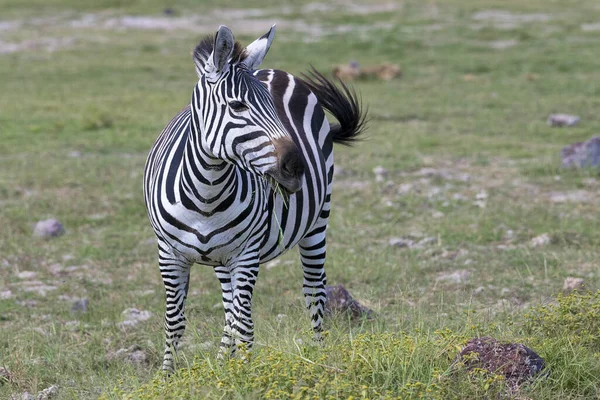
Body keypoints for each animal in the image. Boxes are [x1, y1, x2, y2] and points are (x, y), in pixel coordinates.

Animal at [143, 23, 366, 370]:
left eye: (274, 107)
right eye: (237, 106)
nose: (297, 166)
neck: (205, 194)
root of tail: (276, 70)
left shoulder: (247, 254)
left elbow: (245, 325)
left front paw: (246, 374)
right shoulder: (168, 254)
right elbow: (176, 322)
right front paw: (170, 375)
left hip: (318, 221)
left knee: (314, 291)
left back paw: (319, 356)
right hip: (222, 257)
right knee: (228, 308)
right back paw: (224, 360)